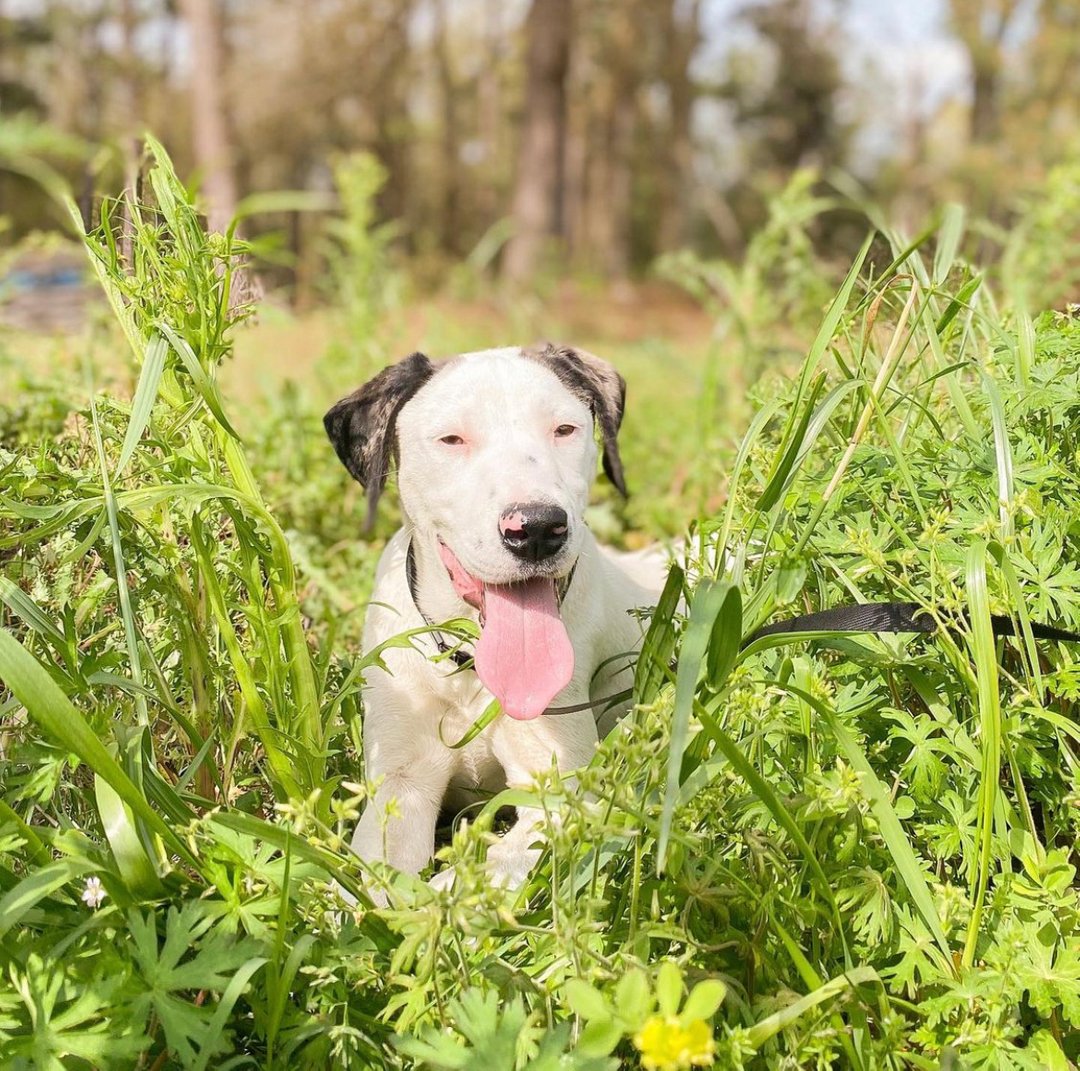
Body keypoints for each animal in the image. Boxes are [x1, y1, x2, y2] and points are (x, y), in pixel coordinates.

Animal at [321, 343, 656, 885]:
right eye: (452, 439)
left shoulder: (558, 797)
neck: (469, 665)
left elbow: (472, 877)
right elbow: (368, 883)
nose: (537, 529)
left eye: (564, 429)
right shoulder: (399, 784)